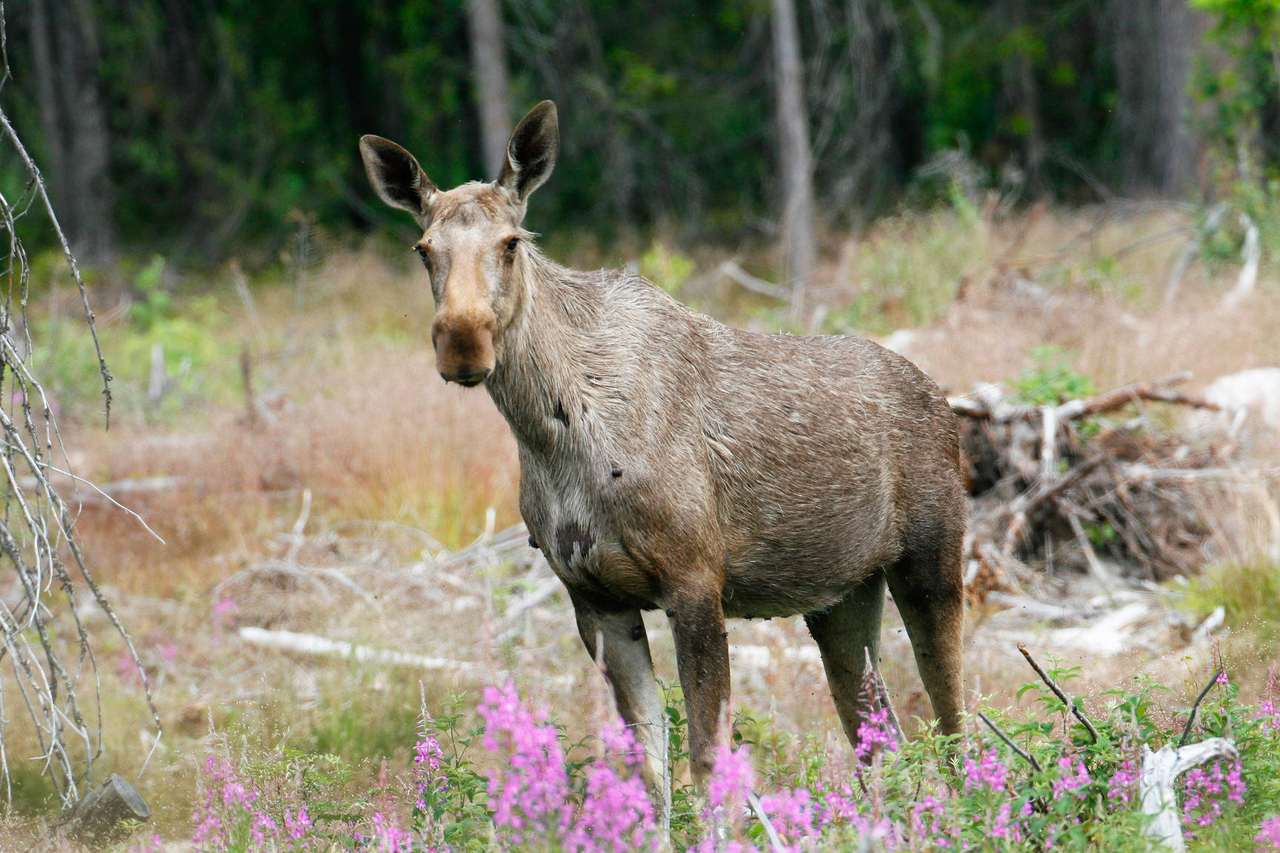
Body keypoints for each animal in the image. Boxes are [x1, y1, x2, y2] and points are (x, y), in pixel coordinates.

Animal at [355, 99, 962, 824]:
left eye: (511, 242)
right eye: (424, 249)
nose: (462, 340)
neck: (556, 437)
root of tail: (945, 400)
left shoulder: (695, 579)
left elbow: (707, 763)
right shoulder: (594, 597)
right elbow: (647, 769)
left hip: (932, 559)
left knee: (955, 726)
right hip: (842, 595)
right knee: (883, 741)